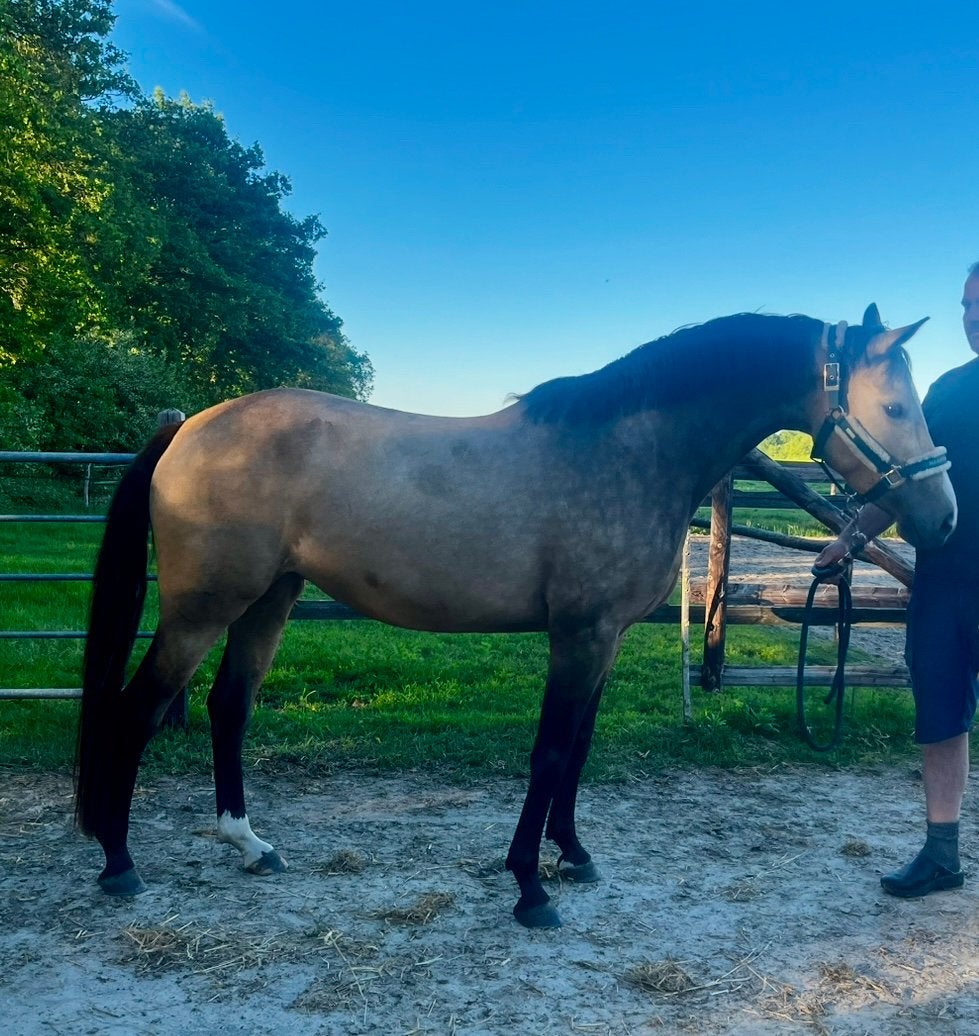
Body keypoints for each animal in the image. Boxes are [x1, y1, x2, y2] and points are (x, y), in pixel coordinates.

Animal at [75, 304, 955, 928]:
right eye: (893, 405)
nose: (941, 517)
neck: (631, 451)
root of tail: (186, 428)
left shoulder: (604, 639)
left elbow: (579, 752)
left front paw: (573, 854)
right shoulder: (578, 636)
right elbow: (549, 753)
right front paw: (532, 889)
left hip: (270, 598)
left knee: (229, 706)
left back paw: (249, 845)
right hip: (204, 607)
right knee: (134, 712)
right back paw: (119, 864)